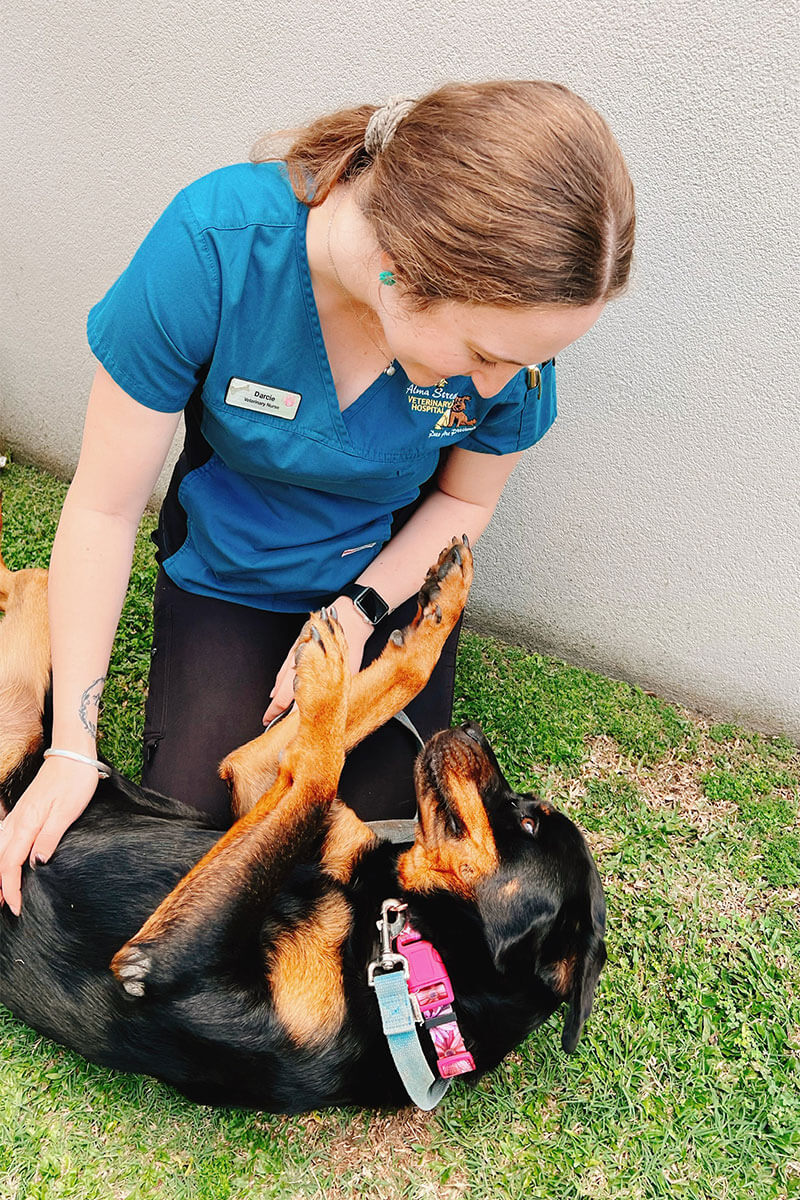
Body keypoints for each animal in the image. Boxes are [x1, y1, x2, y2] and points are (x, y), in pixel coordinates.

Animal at [0, 513, 606, 1113]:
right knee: (28, 580)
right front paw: (438, 605)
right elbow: (361, 716)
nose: (472, 731)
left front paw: (329, 669)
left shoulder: (160, 968)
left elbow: (320, 772)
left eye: (528, 823)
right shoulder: (260, 786)